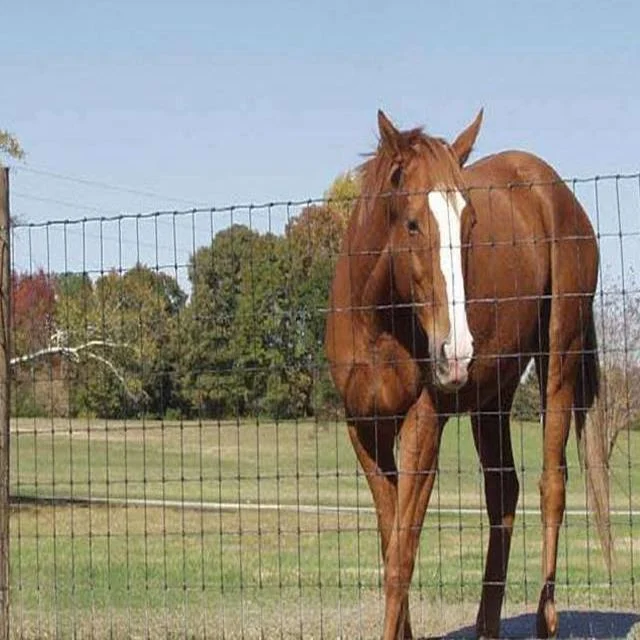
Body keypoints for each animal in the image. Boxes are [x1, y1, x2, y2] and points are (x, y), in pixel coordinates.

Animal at [324, 111, 608, 640]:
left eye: (470, 221)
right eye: (412, 223)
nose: (455, 351)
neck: (378, 322)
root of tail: (559, 193)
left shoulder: (424, 426)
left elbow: (401, 560)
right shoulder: (366, 430)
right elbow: (390, 543)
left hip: (559, 361)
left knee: (551, 486)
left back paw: (545, 620)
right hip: (491, 399)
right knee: (504, 494)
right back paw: (487, 625)